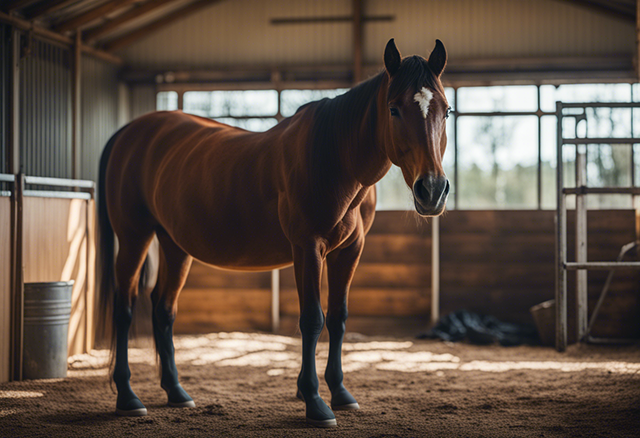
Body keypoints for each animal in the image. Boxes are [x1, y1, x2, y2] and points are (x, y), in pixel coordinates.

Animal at [99, 38, 450, 428]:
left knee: (163, 309)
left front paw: (341, 393)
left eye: (447, 111)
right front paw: (315, 402)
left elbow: (338, 318)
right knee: (125, 307)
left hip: (174, 244)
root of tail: (127, 134)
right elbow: (312, 320)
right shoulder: (307, 247)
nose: (432, 190)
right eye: (393, 109)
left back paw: (176, 392)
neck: (334, 156)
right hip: (134, 237)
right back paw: (128, 397)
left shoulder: (349, 251)